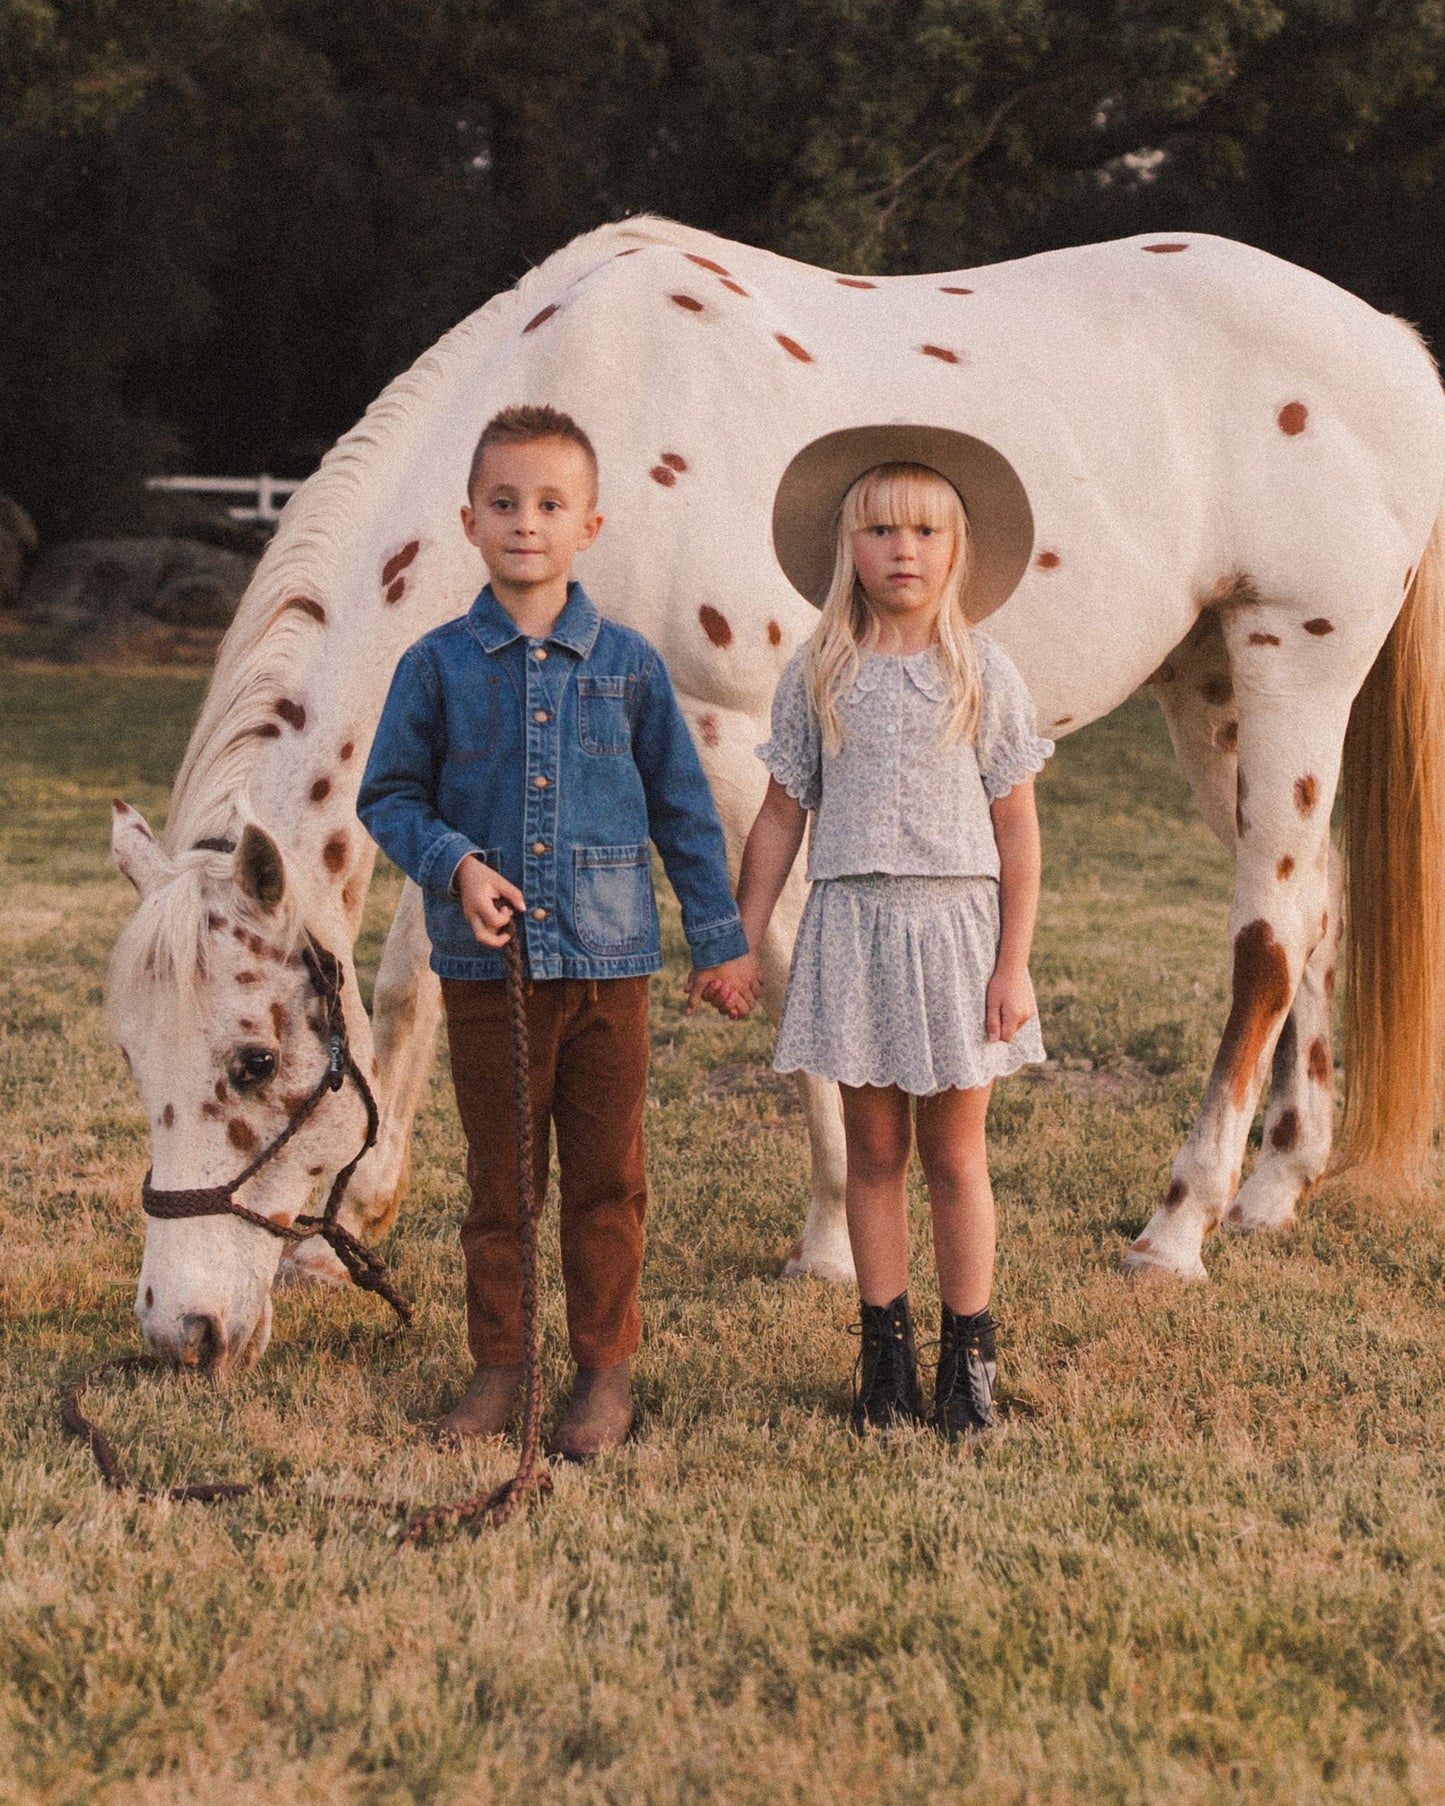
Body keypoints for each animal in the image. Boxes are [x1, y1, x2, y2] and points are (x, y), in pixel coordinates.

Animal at [110, 214, 1445, 1365]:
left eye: (249, 1061)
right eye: (132, 1054)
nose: (183, 1334)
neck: (597, 428)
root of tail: (1390, 343)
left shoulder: (734, 747)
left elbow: (789, 962)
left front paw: (829, 1241)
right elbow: (412, 983)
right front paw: (352, 1227)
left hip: (1293, 662)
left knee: (1265, 938)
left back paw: (1175, 1229)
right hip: (1208, 686)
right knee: (1315, 906)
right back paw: (1272, 1186)